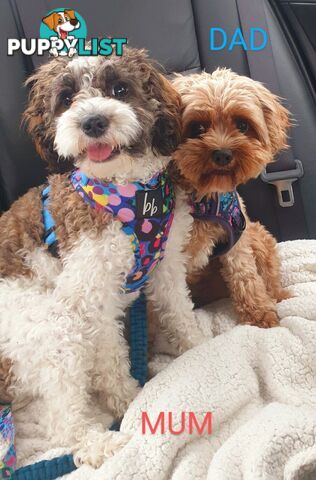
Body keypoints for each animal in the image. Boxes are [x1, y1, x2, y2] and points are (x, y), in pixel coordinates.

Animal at [172, 69, 290, 328]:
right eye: (197, 128)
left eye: (242, 125)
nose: (223, 154)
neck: (206, 199)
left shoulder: (236, 238)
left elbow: (245, 276)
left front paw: (260, 314)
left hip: (257, 234)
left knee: (269, 275)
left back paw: (280, 295)